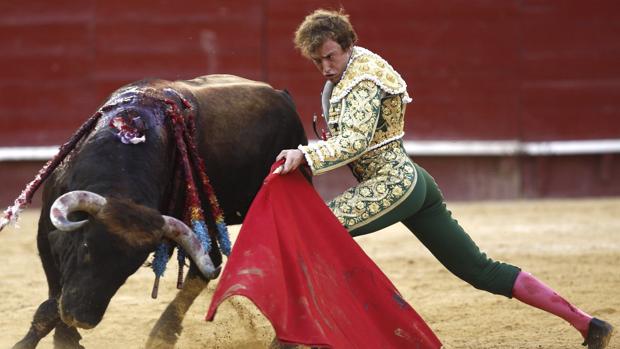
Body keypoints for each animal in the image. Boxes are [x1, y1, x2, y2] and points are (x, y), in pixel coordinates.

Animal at [9, 74, 308, 348]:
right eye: (85, 249)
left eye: (128, 270)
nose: (81, 318)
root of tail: (283, 96)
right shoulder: (46, 232)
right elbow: (52, 300)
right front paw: (62, 338)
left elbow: (53, 304)